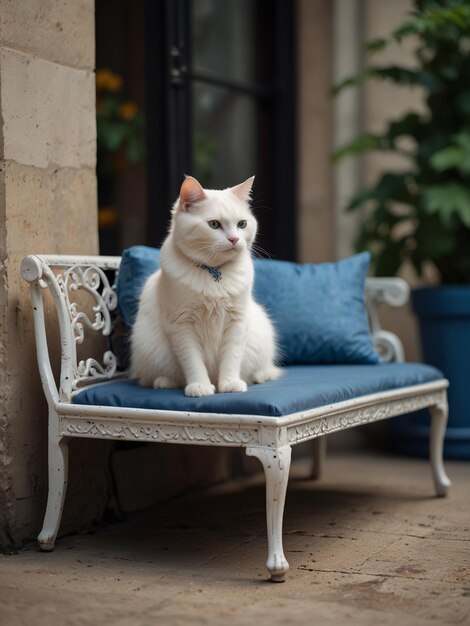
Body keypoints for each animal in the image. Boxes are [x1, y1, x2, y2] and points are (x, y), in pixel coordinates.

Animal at [129, 174, 282, 394]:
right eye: (214, 225)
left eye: (242, 224)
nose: (234, 239)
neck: (213, 273)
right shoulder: (181, 325)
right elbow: (192, 361)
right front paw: (200, 386)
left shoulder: (237, 322)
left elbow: (231, 358)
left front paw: (229, 384)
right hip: (149, 346)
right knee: (152, 378)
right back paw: (164, 381)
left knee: (263, 369)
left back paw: (259, 376)